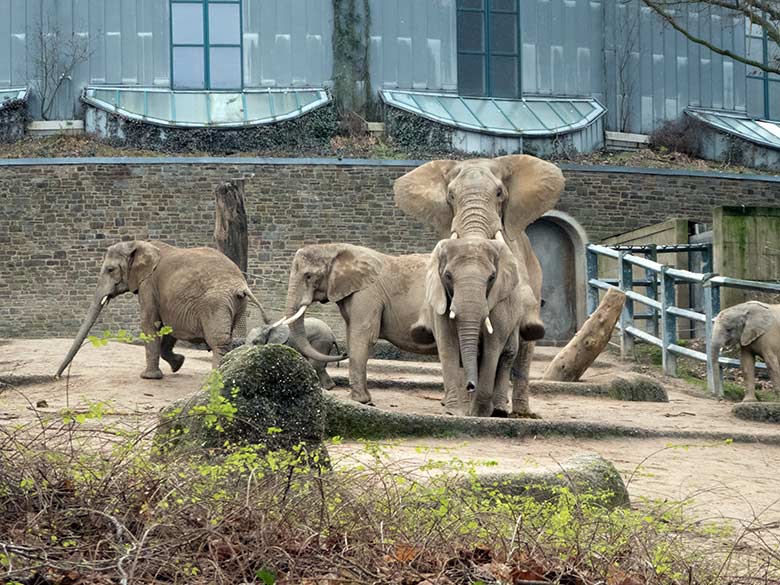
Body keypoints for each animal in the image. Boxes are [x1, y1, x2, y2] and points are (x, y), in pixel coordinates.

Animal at [54, 238, 268, 378]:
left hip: (215, 302)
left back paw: (215, 379)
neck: (139, 244)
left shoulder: (148, 284)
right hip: (235, 304)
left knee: (219, 341)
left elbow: (150, 323)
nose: (57, 376)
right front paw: (177, 365)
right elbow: (169, 325)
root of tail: (241, 285)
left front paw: (148, 377)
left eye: (110, 270)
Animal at [280, 241, 438, 402]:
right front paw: (361, 399)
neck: (334, 248)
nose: (344, 353)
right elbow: (351, 334)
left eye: (308, 276)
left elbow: (363, 336)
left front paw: (359, 400)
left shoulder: (367, 293)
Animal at [412, 237, 544, 416]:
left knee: (507, 355)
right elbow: (448, 346)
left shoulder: (500, 304)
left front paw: (479, 413)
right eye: (448, 276)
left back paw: (499, 410)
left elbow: (492, 348)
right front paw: (453, 412)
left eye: (492, 277)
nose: (470, 385)